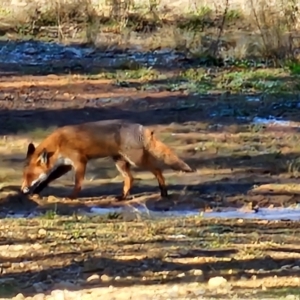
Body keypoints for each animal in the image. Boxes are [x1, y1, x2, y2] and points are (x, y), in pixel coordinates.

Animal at [21, 119, 195, 199]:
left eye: (30, 176)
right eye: (24, 176)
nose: (23, 190)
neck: (58, 144)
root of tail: (141, 127)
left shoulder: (80, 161)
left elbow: (78, 183)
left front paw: (72, 197)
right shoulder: (66, 165)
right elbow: (48, 179)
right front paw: (36, 191)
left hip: (136, 160)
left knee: (157, 170)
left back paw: (164, 192)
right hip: (120, 162)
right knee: (130, 179)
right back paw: (123, 197)